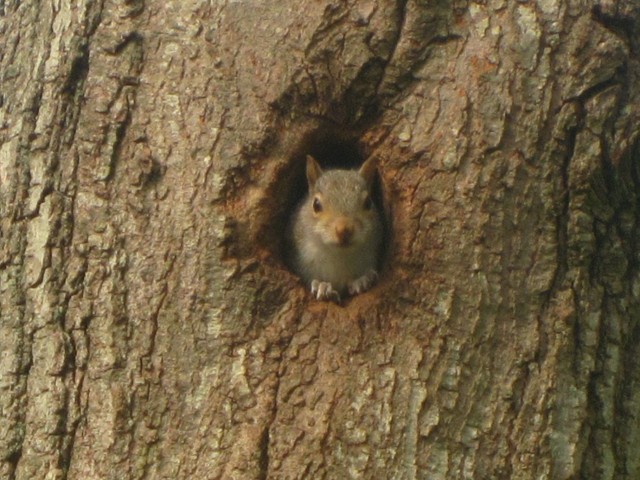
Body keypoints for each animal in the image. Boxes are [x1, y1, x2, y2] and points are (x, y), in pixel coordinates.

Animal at [292, 156, 384, 302]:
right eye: (316, 204)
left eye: (368, 203)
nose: (344, 230)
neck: (339, 255)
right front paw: (322, 286)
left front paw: (362, 280)